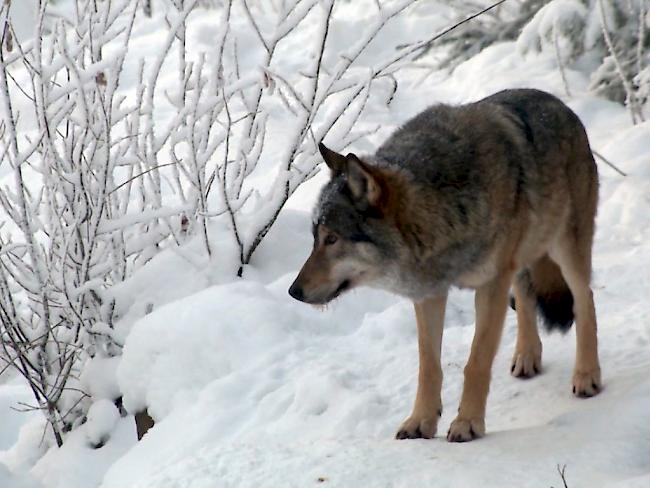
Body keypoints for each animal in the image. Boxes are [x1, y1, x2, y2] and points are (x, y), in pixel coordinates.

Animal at [286, 88, 600, 442]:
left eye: (332, 239)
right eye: (315, 237)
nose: (293, 291)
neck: (441, 209)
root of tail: (560, 104)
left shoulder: (490, 285)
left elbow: (476, 362)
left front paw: (467, 423)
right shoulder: (429, 294)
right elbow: (428, 365)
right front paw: (420, 421)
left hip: (565, 248)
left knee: (584, 298)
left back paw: (587, 375)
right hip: (522, 259)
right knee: (525, 295)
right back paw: (526, 356)